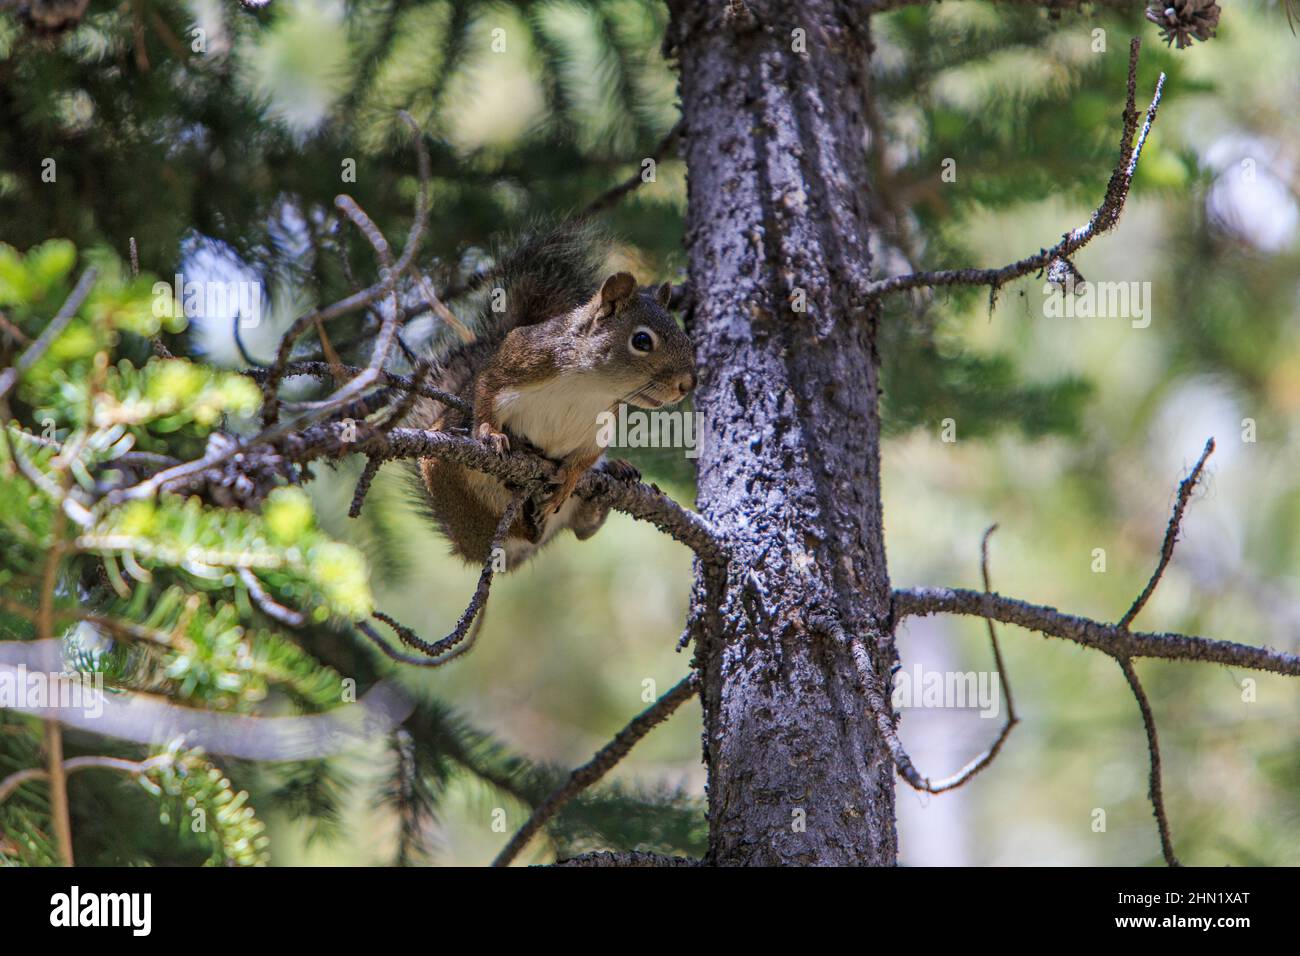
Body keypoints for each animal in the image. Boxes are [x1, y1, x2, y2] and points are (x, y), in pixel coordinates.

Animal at [405, 223, 696, 567]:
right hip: (450, 479)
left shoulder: (602, 423)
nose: (688, 384)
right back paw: (523, 505)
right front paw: (490, 432)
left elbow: (586, 457)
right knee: (504, 523)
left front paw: (571, 477)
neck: (590, 385)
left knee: (583, 529)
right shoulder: (521, 361)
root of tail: (469, 545)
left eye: (685, 337)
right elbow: (486, 391)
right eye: (641, 340)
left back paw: (611, 479)